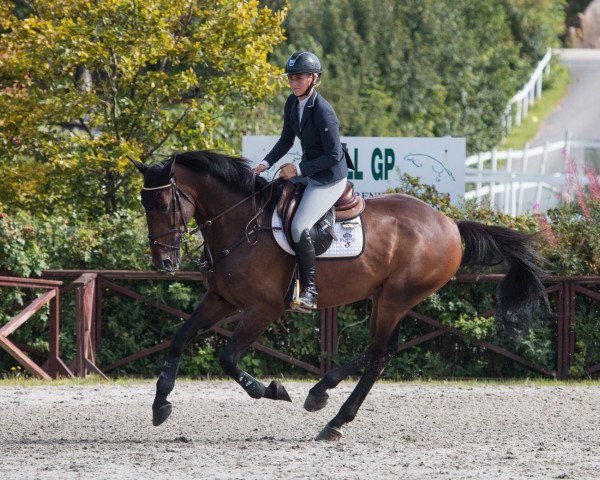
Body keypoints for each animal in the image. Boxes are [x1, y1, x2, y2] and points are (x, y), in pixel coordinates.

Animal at [131, 152, 548, 440]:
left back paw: (333, 418)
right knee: (381, 351)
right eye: (144, 204)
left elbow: (229, 358)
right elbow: (179, 338)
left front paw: (271, 389)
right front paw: (160, 403)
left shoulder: (263, 308)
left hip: (397, 298)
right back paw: (322, 393)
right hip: (385, 298)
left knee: (378, 354)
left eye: (164, 204)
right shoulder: (221, 300)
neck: (240, 225)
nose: (164, 262)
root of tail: (449, 223)